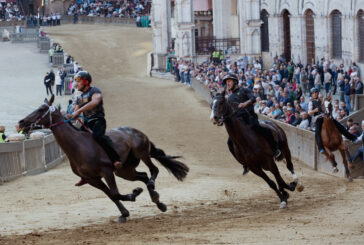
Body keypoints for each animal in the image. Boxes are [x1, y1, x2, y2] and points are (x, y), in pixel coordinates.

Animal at [18, 95, 189, 222]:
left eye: (41, 109)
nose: (21, 122)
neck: (79, 146)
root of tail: (136, 131)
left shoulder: (107, 171)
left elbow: (115, 193)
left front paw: (132, 196)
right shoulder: (91, 179)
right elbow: (111, 195)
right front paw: (126, 209)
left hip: (142, 153)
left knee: (154, 170)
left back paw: (154, 192)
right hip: (124, 170)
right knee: (143, 175)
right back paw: (157, 200)